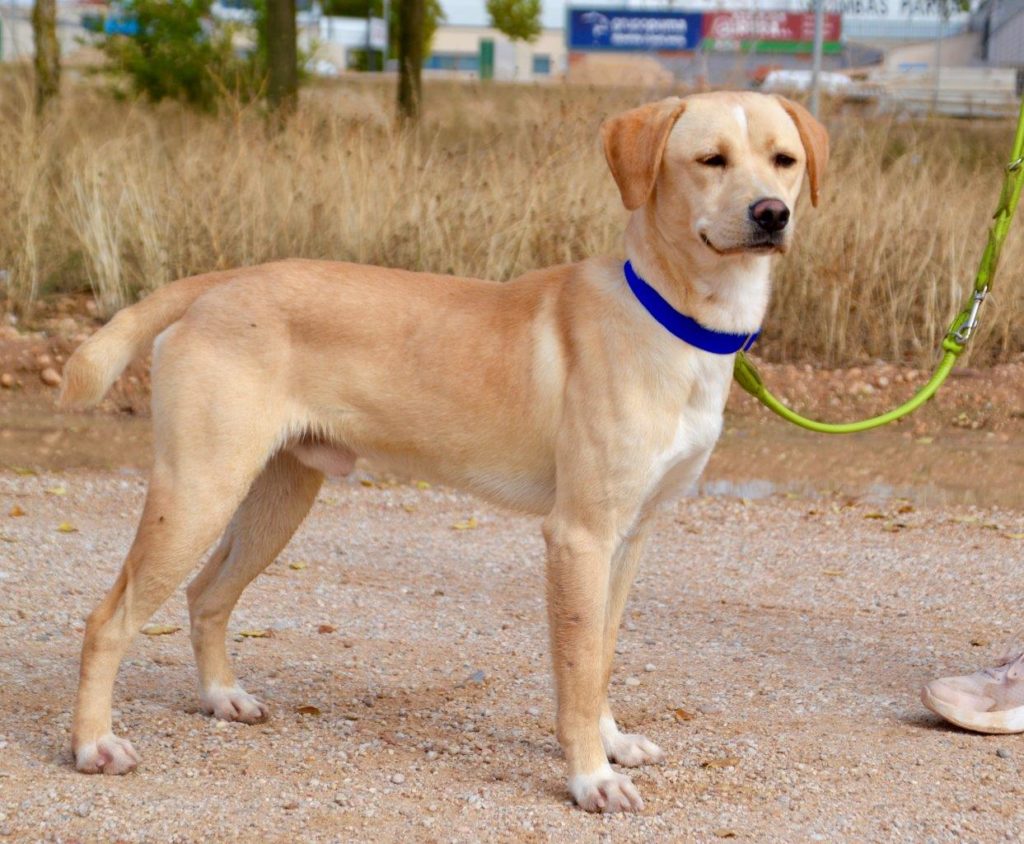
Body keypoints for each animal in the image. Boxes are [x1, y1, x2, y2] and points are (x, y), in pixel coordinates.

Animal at [58, 90, 823, 811]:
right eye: (710, 159)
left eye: (784, 159)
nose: (772, 214)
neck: (671, 317)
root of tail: (221, 282)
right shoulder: (579, 536)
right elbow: (577, 669)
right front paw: (590, 778)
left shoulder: (629, 538)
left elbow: (602, 657)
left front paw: (611, 744)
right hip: (198, 492)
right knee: (107, 620)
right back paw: (94, 743)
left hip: (277, 499)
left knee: (207, 595)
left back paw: (221, 696)